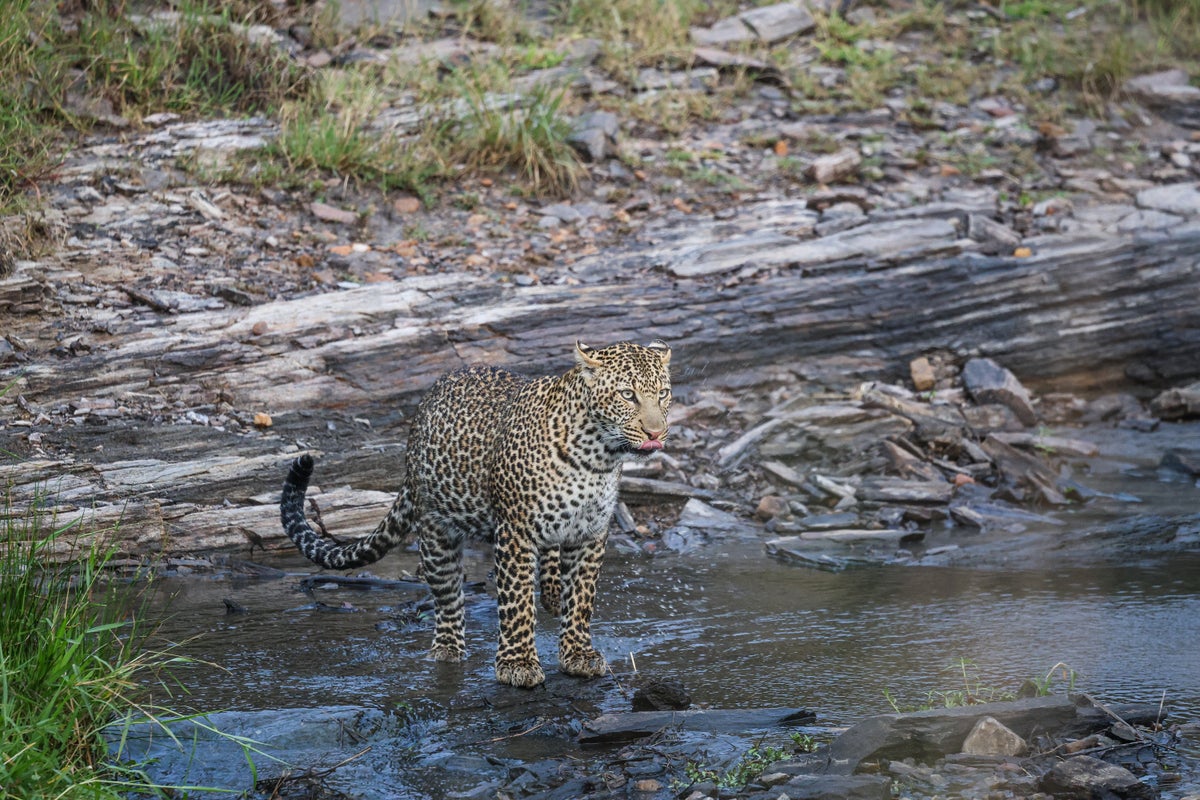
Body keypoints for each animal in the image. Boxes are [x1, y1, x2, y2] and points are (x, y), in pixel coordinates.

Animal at [279, 340, 672, 688]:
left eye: (664, 394)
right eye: (627, 395)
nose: (656, 432)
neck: (596, 457)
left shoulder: (590, 534)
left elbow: (581, 600)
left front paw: (578, 655)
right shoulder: (515, 532)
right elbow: (516, 602)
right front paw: (517, 664)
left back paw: (549, 591)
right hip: (436, 531)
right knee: (447, 597)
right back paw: (448, 649)